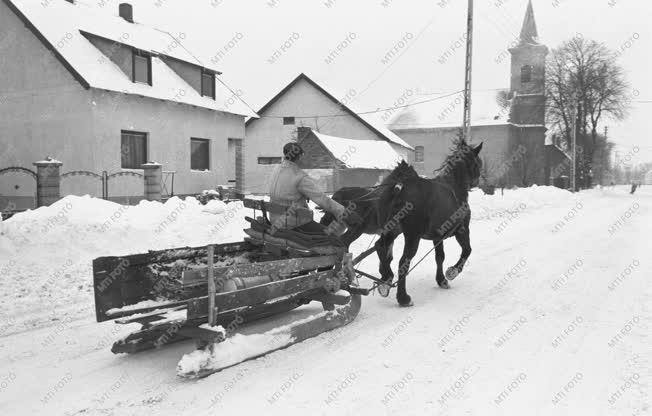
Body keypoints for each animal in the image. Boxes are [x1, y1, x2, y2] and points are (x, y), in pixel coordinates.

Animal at [376, 140, 484, 306]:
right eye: (478, 162)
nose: (478, 180)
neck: (454, 186)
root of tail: (399, 187)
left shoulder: (437, 236)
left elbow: (440, 257)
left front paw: (442, 280)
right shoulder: (462, 230)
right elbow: (467, 250)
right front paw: (452, 272)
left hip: (391, 231)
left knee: (380, 248)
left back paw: (386, 280)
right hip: (412, 236)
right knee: (403, 262)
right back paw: (403, 297)